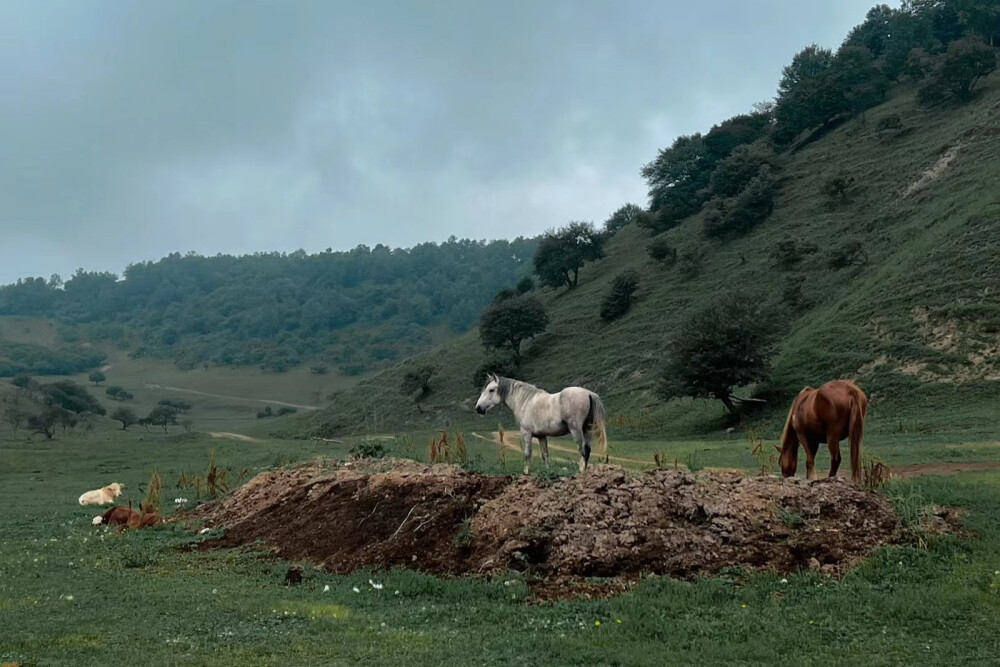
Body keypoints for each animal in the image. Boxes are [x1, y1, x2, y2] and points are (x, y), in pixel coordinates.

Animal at [476, 376, 608, 474]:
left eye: (491, 390)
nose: (478, 408)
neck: (525, 402)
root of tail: (589, 393)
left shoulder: (526, 434)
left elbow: (527, 454)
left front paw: (526, 473)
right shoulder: (541, 436)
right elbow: (545, 455)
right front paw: (548, 472)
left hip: (576, 430)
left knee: (582, 450)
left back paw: (581, 471)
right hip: (587, 429)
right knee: (587, 450)